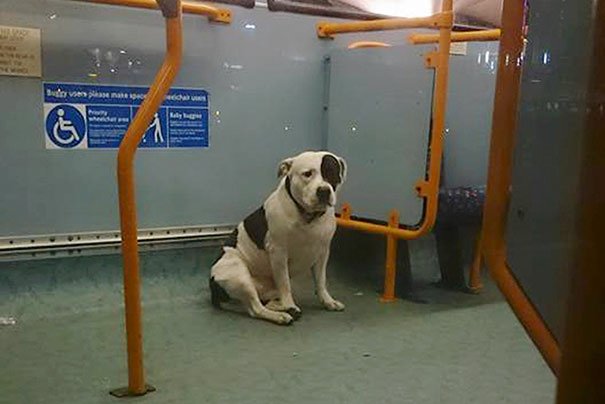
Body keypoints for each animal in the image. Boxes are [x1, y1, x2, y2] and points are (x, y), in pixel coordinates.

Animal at [210, 151, 346, 326]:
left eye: (332, 172)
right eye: (307, 174)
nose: (324, 190)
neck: (307, 217)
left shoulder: (322, 254)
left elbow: (321, 281)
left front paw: (328, 301)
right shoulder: (279, 254)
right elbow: (285, 285)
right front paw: (290, 304)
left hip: (266, 290)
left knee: (266, 302)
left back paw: (283, 308)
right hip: (239, 275)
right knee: (256, 308)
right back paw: (282, 315)